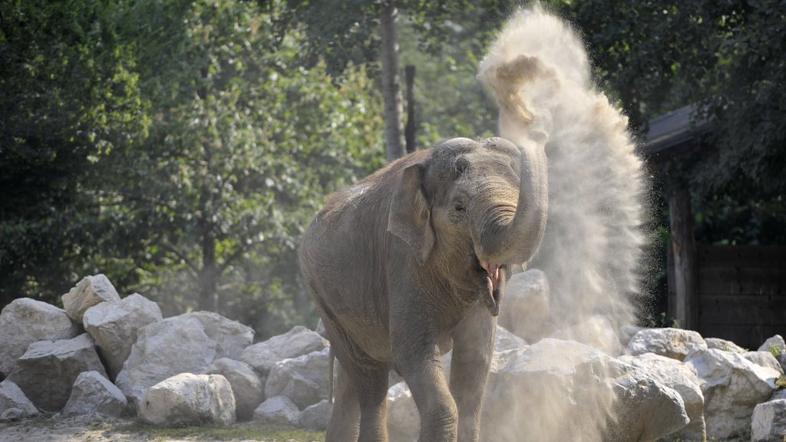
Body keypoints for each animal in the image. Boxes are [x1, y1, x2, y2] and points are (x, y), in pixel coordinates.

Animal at [298, 135, 548, 442]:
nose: (538, 134)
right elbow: (412, 352)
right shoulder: (402, 260)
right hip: (322, 297)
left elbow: (476, 359)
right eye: (459, 207)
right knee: (370, 379)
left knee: (352, 380)